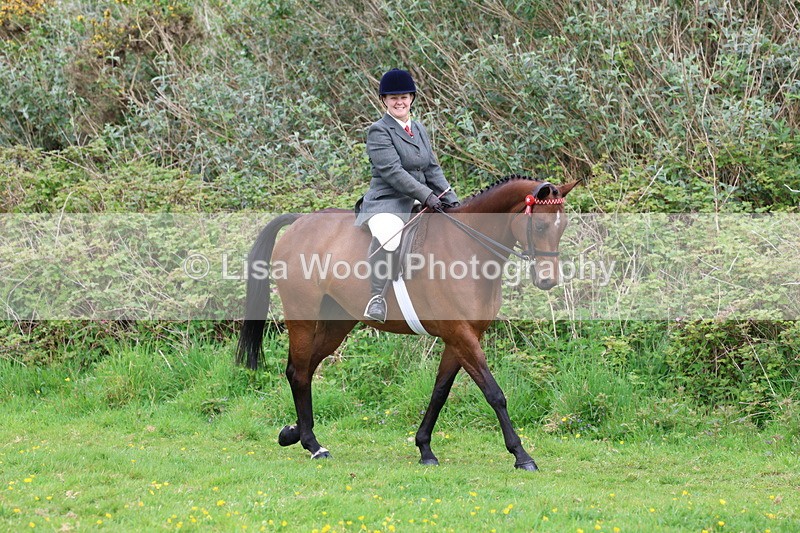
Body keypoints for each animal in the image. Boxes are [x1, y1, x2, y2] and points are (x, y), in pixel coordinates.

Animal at [236, 175, 580, 470]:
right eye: (540, 225)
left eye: (562, 227)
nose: (548, 280)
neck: (468, 247)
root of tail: (300, 221)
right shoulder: (460, 334)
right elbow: (494, 393)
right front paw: (521, 455)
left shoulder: (462, 337)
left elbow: (440, 392)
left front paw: (424, 447)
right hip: (304, 317)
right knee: (299, 372)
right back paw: (313, 445)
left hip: (337, 323)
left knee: (303, 369)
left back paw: (294, 433)